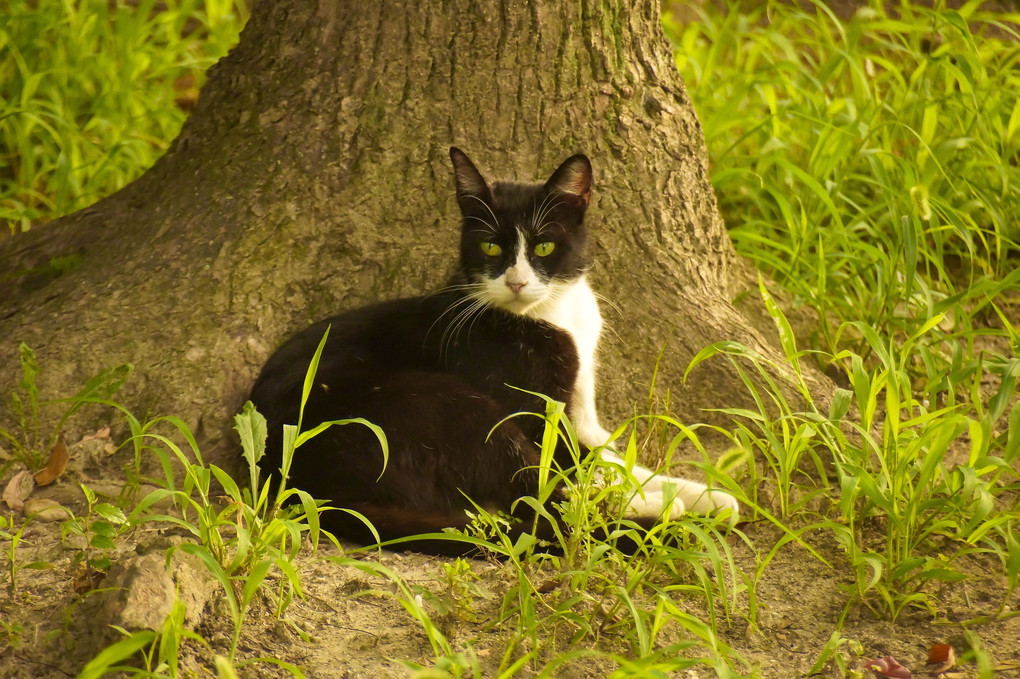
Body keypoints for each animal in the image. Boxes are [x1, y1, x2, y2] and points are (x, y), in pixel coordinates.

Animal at [249, 147, 738, 550]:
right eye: (489, 246)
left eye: (544, 245)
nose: (517, 281)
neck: (553, 314)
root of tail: (304, 485)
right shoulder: (532, 407)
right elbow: (570, 466)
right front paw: (660, 497)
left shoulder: (579, 412)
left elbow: (609, 455)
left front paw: (703, 493)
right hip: (447, 403)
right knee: (534, 497)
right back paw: (648, 512)